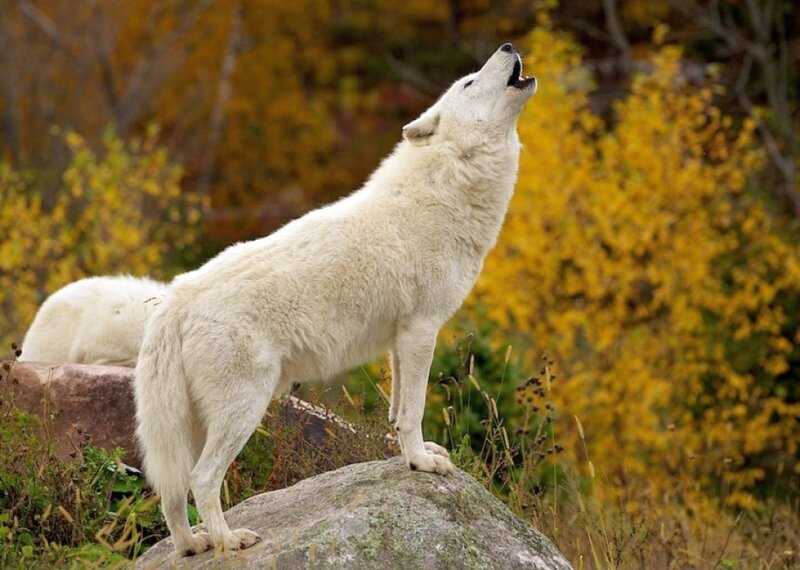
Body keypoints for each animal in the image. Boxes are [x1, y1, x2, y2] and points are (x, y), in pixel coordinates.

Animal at [135, 42, 536, 556]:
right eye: (468, 82)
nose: (507, 46)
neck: (443, 190)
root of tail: (175, 298)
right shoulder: (421, 329)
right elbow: (414, 412)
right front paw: (422, 463)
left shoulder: (400, 341)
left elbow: (395, 413)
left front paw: (411, 456)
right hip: (244, 408)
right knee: (202, 480)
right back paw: (229, 541)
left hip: (190, 425)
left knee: (170, 490)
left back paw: (193, 546)